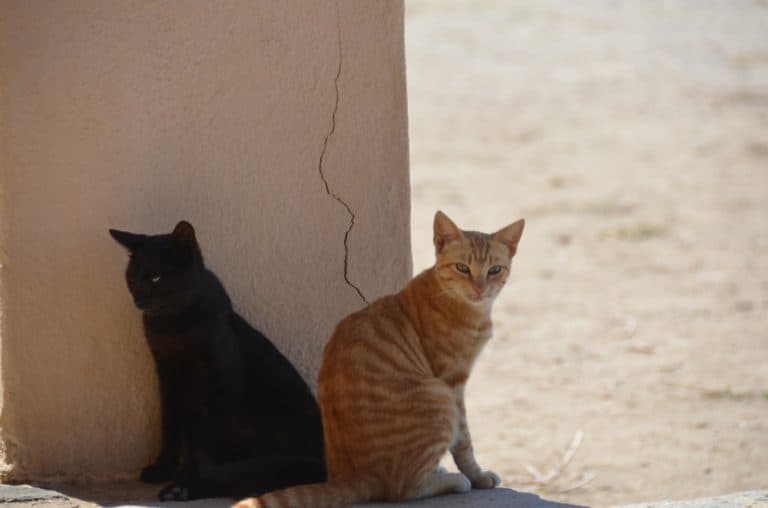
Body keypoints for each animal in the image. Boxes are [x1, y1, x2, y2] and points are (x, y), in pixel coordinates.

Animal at [109, 222, 324, 500]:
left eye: (156, 277)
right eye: (132, 279)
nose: (139, 300)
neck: (172, 324)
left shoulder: (219, 381)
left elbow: (202, 442)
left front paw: (186, 475)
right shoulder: (168, 377)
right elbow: (170, 425)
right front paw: (163, 468)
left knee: (254, 472)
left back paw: (184, 488)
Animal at [237, 211, 524, 508]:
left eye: (494, 270)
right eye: (462, 268)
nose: (480, 289)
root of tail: (356, 474)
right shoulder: (453, 382)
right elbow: (464, 441)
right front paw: (477, 476)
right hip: (438, 397)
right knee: (401, 490)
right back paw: (453, 481)